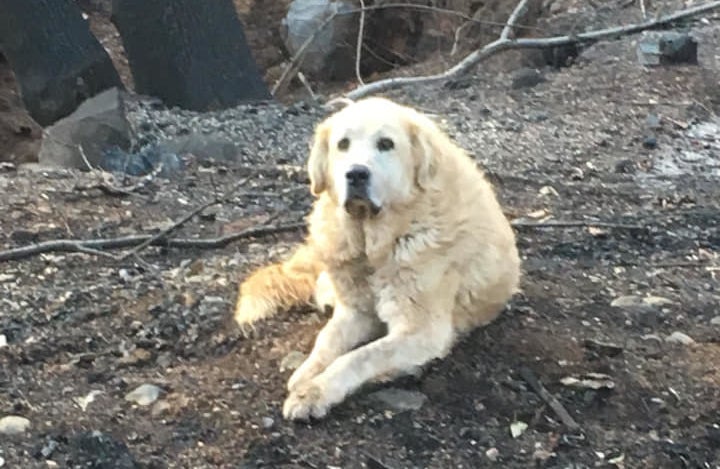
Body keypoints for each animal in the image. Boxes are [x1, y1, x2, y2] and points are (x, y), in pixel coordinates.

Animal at [233, 97, 520, 418]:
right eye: (342, 144)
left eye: (386, 144)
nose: (356, 174)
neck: (375, 243)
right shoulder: (355, 312)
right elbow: (326, 341)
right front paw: (306, 374)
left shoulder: (421, 331)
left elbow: (359, 357)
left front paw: (315, 392)